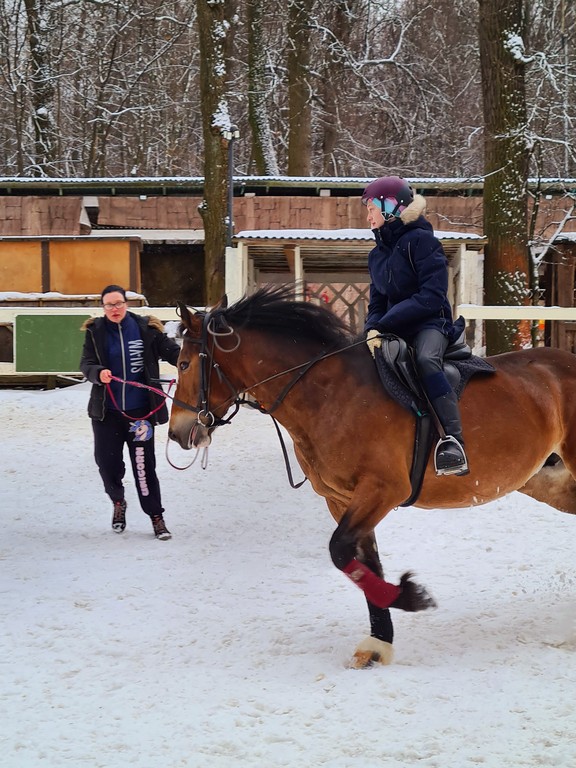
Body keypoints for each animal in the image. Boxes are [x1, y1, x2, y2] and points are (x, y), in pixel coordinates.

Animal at [169, 284, 576, 668]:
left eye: (184, 364)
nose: (177, 433)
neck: (330, 395)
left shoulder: (383, 490)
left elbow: (339, 551)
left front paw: (411, 597)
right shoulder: (343, 500)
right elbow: (362, 562)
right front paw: (379, 644)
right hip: (544, 479)